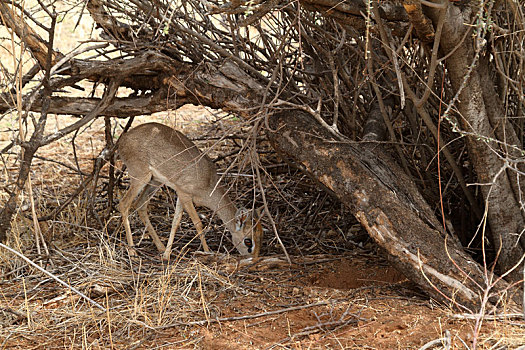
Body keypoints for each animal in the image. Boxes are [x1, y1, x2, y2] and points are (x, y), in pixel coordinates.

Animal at [116, 123, 260, 260]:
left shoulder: (180, 194)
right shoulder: (185, 195)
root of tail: (122, 140)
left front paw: (167, 255)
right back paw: (132, 252)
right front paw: (207, 251)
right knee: (123, 204)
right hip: (140, 177)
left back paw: (160, 247)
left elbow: (176, 222)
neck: (208, 183)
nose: (253, 259)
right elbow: (198, 222)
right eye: (248, 241)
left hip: (154, 181)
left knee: (140, 204)